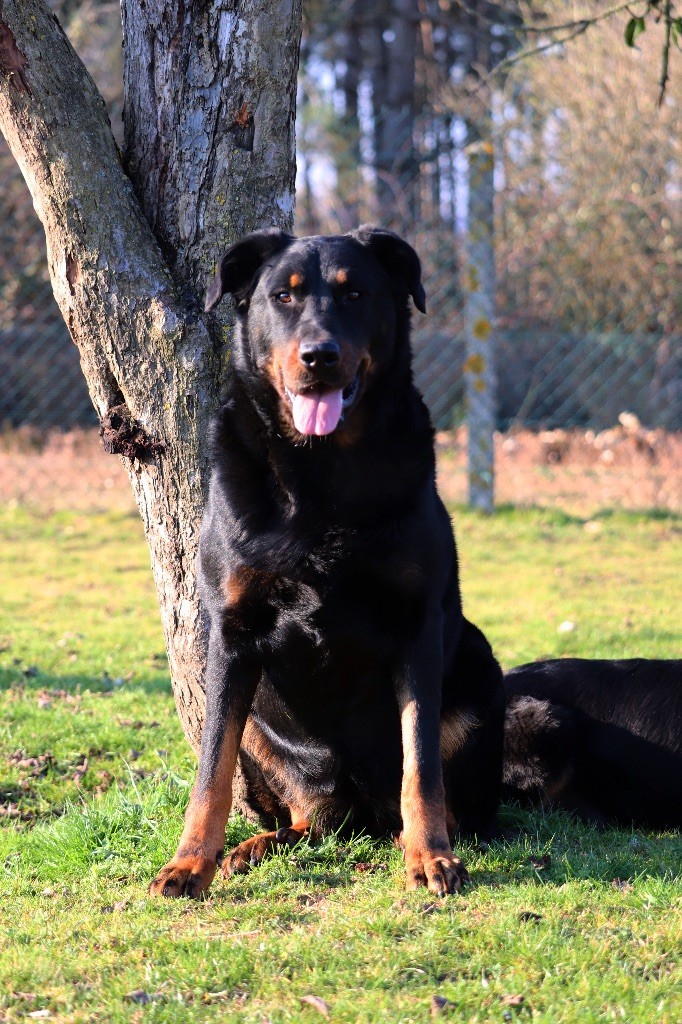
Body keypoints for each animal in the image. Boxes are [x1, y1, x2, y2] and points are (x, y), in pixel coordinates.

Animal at [150, 226, 503, 897]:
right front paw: (189, 863)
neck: (322, 469)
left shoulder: (417, 627)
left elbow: (421, 766)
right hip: (272, 740)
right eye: (283, 297)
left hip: (478, 674)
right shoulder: (231, 632)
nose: (319, 355)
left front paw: (430, 856)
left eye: (355, 293)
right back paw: (254, 847)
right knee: (309, 820)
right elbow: (211, 767)